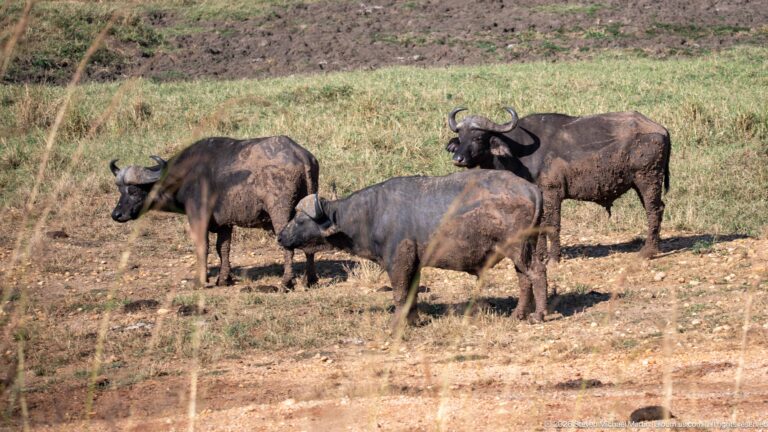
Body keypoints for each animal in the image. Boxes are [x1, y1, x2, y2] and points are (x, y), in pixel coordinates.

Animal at [110, 136, 320, 288]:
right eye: (119, 189)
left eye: (133, 190)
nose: (116, 215)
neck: (186, 175)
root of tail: (302, 156)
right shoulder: (225, 223)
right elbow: (223, 248)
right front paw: (223, 279)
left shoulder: (197, 216)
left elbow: (202, 246)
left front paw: (200, 281)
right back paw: (310, 279)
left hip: (279, 212)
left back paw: (286, 282)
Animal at [277, 170, 547, 327]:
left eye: (299, 220)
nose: (280, 237)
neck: (371, 213)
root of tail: (532, 189)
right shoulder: (415, 265)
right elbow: (412, 294)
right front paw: (414, 320)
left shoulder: (398, 262)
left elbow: (399, 293)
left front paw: (398, 323)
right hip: (521, 252)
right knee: (524, 279)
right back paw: (518, 314)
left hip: (519, 249)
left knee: (537, 273)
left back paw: (539, 314)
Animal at [446, 107, 671, 263]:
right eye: (460, 137)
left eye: (478, 137)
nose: (458, 159)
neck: (518, 152)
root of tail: (660, 129)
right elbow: (538, 227)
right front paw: (540, 255)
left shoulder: (552, 193)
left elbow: (553, 225)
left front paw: (554, 258)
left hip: (648, 178)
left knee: (654, 210)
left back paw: (648, 251)